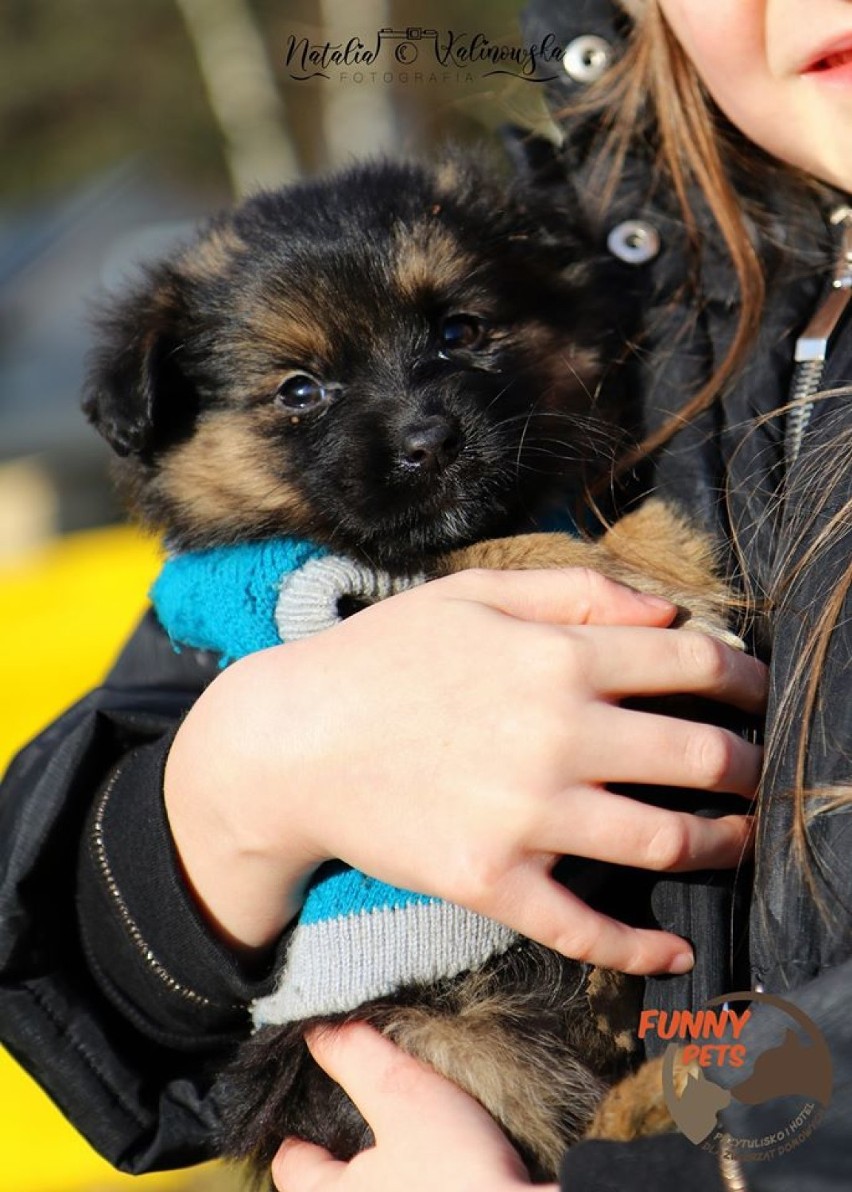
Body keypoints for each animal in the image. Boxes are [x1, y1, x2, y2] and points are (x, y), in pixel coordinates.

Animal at [86, 156, 738, 1182]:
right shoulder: (336, 598)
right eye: (299, 391)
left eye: (458, 332)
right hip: (433, 1038)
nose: (432, 442)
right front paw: (652, 570)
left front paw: (654, 547)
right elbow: (483, 550)